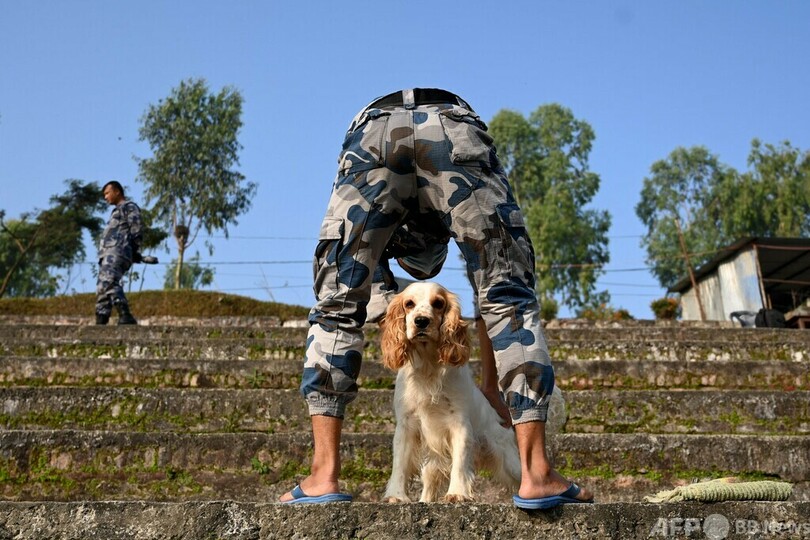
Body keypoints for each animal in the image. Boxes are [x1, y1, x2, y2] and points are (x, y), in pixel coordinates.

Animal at [380, 282, 521, 502]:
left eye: (438, 303)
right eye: (409, 304)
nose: (421, 321)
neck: (428, 368)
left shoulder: (459, 424)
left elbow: (460, 464)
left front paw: (457, 493)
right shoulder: (406, 425)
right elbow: (399, 465)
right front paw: (396, 496)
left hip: (509, 460)